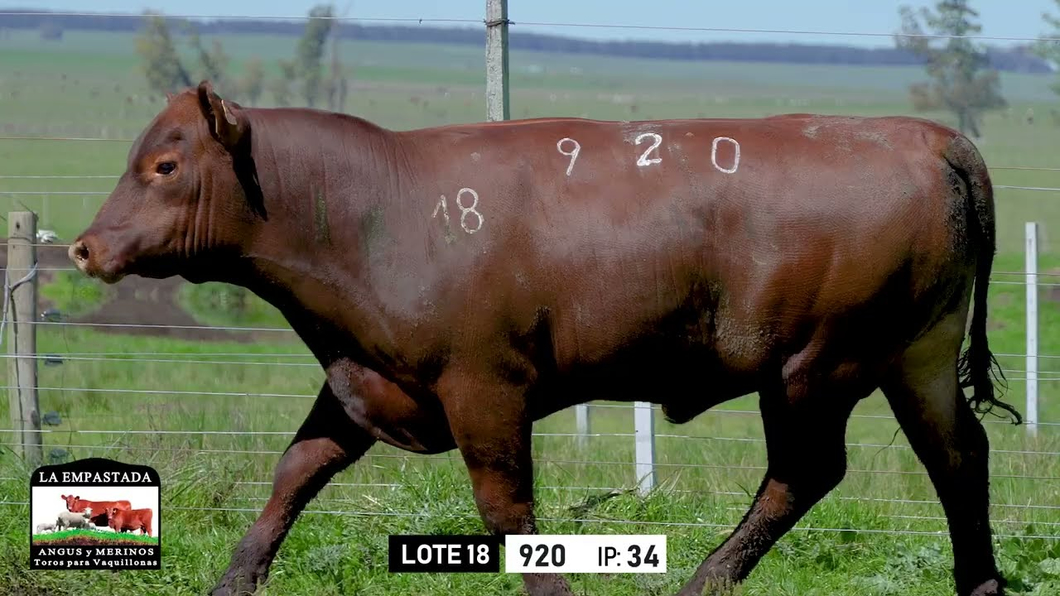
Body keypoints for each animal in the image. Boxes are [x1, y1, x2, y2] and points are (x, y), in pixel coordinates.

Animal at [68, 82, 1017, 593]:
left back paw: (707, 577)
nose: (85, 246)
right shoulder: (362, 378)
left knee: (804, 472)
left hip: (814, 367)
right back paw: (979, 578)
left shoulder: (485, 387)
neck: (380, 210)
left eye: (165, 165)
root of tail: (927, 138)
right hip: (917, 358)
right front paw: (236, 576)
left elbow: (506, 507)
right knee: (957, 456)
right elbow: (294, 473)